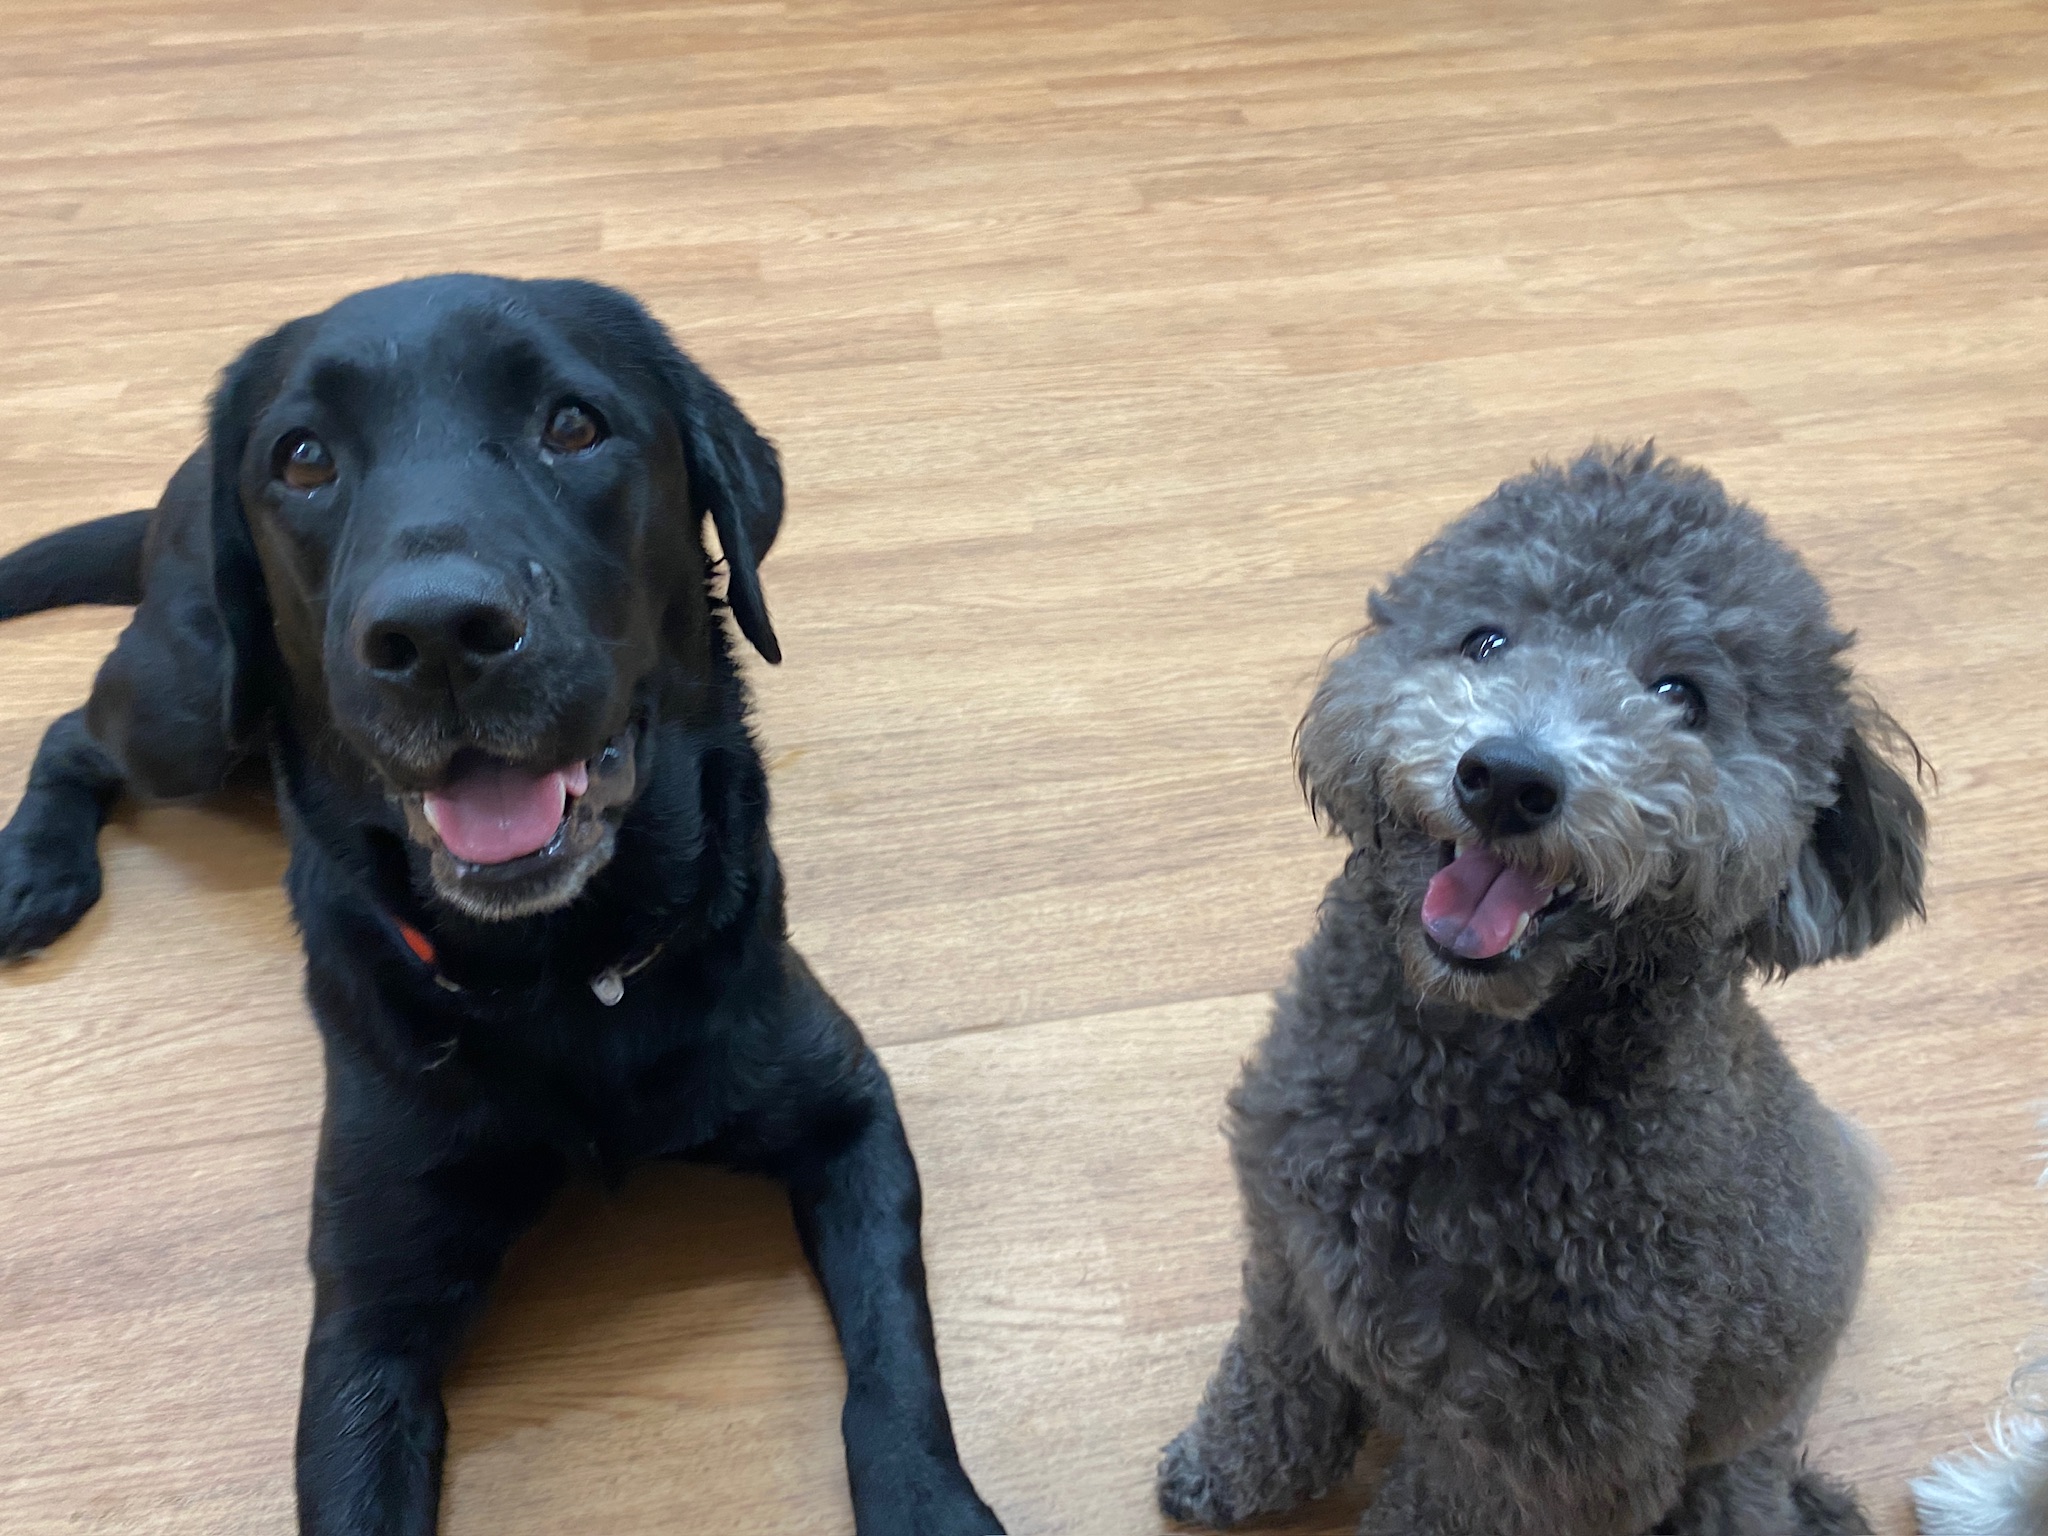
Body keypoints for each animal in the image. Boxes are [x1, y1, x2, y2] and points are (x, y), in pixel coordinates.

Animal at [0, 274, 1003, 1536]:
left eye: (572, 425)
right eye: (303, 458)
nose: (437, 632)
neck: (569, 973)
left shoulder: (847, 1110)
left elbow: (892, 1358)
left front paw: (929, 1501)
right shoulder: (369, 1312)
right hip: (190, 705)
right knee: (74, 730)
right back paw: (32, 868)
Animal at [1157, 447, 1926, 1535]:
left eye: (1680, 695)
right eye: (1485, 640)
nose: (1507, 777)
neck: (1464, 1065)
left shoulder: (1548, 1448)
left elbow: (1434, 1508)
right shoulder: (1288, 1255)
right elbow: (1273, 1375)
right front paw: (1230, 1470)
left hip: (1731, 1464)